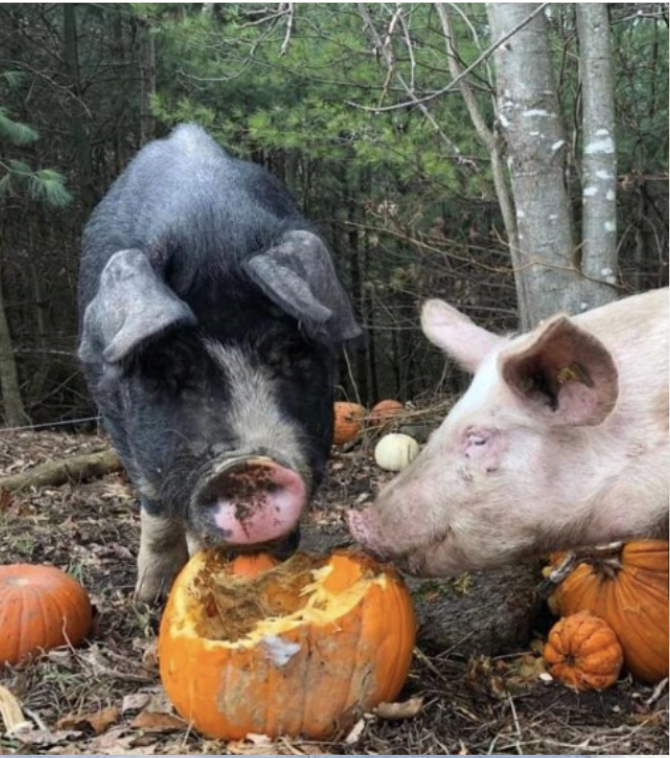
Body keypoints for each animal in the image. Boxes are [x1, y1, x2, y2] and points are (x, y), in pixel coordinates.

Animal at [78, 124, 361, 601]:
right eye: (168, 368)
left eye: (290, 352)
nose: (246, 466)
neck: (208, 233)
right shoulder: (111, 405)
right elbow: (155, 501)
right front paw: (149, 596)